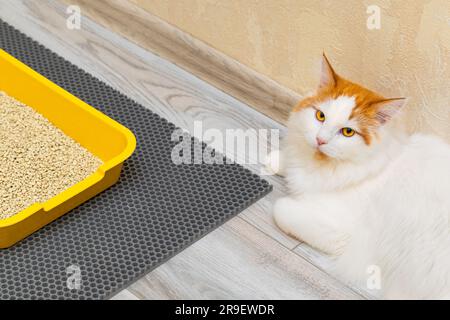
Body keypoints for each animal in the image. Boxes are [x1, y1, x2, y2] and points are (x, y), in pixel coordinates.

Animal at [268, 53, 450, 298]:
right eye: (320, 116)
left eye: (347, 132)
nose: (320, 140)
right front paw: (276, 160)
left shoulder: (344, 232)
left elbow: (281, 208)